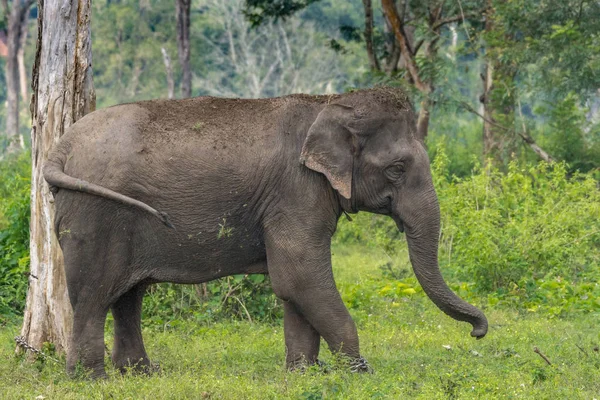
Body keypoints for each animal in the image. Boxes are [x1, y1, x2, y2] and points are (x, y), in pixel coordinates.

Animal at [45, 86, 488, 378]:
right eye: (397, 168)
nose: (478, 332)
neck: (328, 104)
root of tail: (59, 146)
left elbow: (294, 285)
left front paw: (304, 374)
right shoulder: (296, 192)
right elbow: (300, 277)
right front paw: (359, 373)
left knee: (128, 297)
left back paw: (139, 374)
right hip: (95, 214)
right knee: (94, 296)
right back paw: (91, 379)